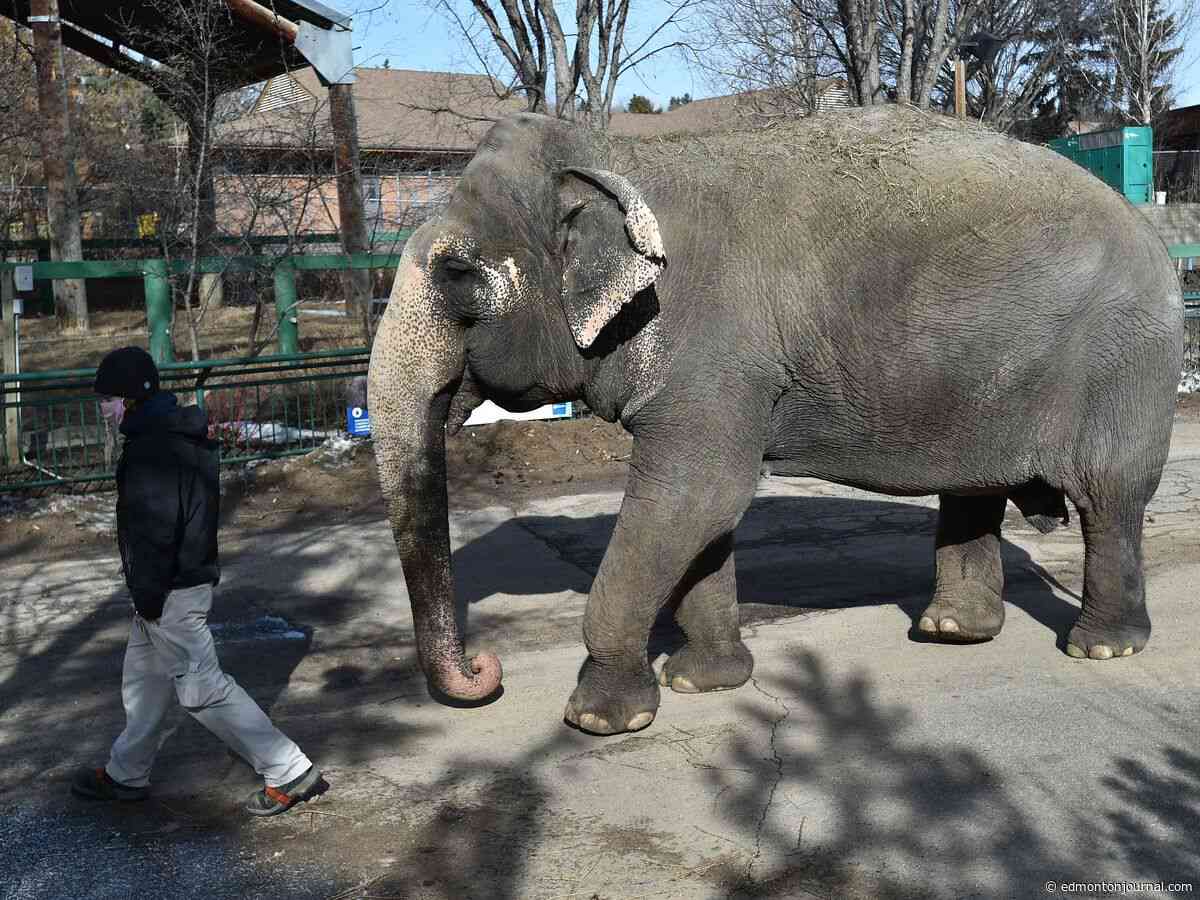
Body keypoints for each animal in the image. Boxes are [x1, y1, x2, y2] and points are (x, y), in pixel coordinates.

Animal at [367, 104, 1184, 736]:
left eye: (457, 273)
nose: (484, 669)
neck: (621, 157)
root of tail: (1154, 232)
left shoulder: (715, 352)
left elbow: (696, 496)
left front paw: (602, 719)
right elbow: (704, 515)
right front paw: (704, 681)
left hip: (1124, 362)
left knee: (1109, 497)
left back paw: (1100, 648)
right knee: (975, 489)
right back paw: (952, 631)